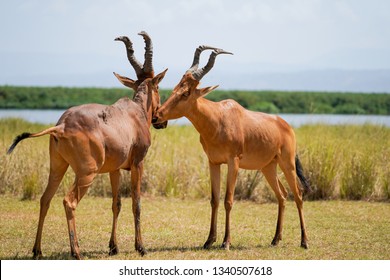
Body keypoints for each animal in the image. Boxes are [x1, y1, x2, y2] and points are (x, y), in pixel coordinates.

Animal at [6, 31, 168, 260]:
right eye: (158, 86)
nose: (160, 121)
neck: (134, 113)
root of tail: (62, 125)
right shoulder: (138, 164)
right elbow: (136, 203)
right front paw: (140, 247)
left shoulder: (115, 169)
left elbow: (116, 204)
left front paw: (113, 247)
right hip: (86, 174)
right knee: (68, 201)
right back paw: (76, 251)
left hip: (58, 167)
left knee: (45, 199)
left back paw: (37, 250)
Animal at [152, 45, 310, 249]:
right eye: (175, 88)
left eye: (186, 93)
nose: (156, 117)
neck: (218, 117)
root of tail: (286, 125)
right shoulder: (213, 162)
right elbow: (214, 200)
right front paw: (209, 240)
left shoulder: (233, 162)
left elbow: (228, 200)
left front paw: (226, 242)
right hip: (268, 167)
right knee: (282, 195)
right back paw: (275, 239)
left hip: (287, 163)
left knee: (298, 194)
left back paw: (304, 241)